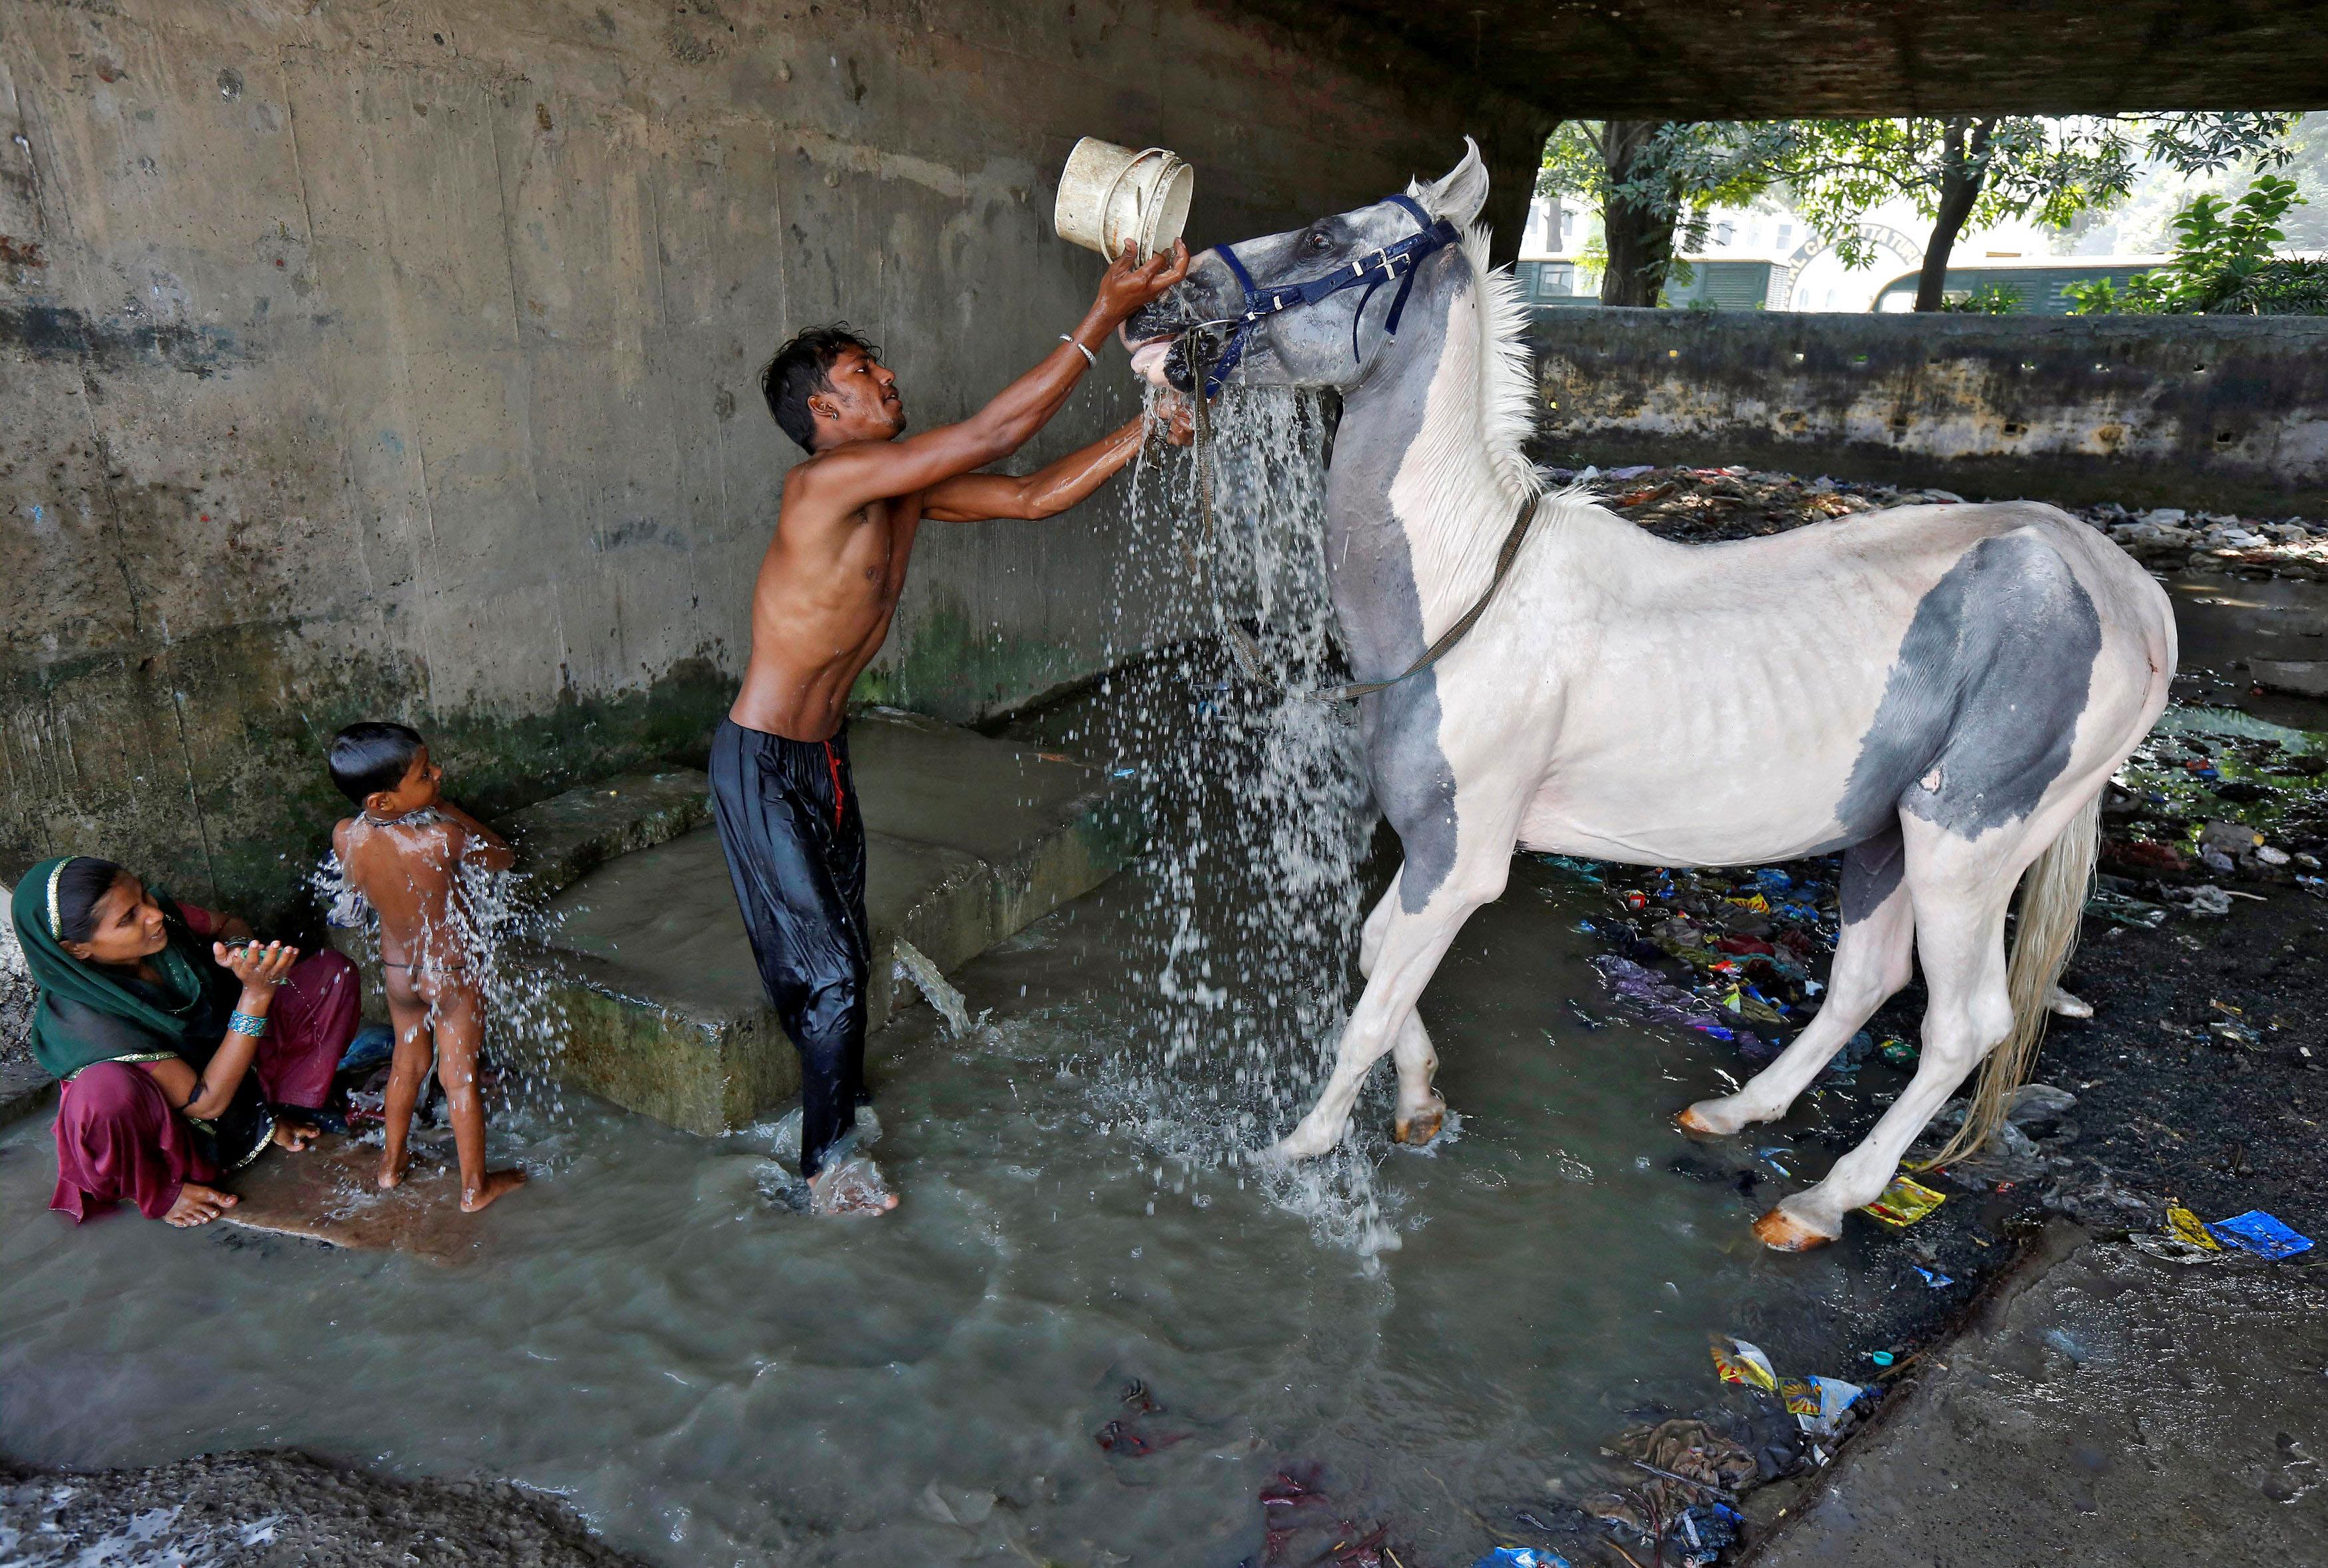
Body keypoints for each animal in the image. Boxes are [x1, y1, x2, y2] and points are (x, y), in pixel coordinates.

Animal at [1127, 140, 2179, 1238]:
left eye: (1327, 236)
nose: (1161, 306)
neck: (1468, 586)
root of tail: (2126, 590)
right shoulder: (1429, 852)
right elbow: (1380, 962)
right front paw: (1419, 1104)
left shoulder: (1461, 863)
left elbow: (1369, 1008)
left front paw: (1302, 1148)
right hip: (1888, 831)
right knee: (1865, 980)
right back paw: (1737, 1111)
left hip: (1967, 841)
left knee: (1963, 1023)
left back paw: (1825, 1201)